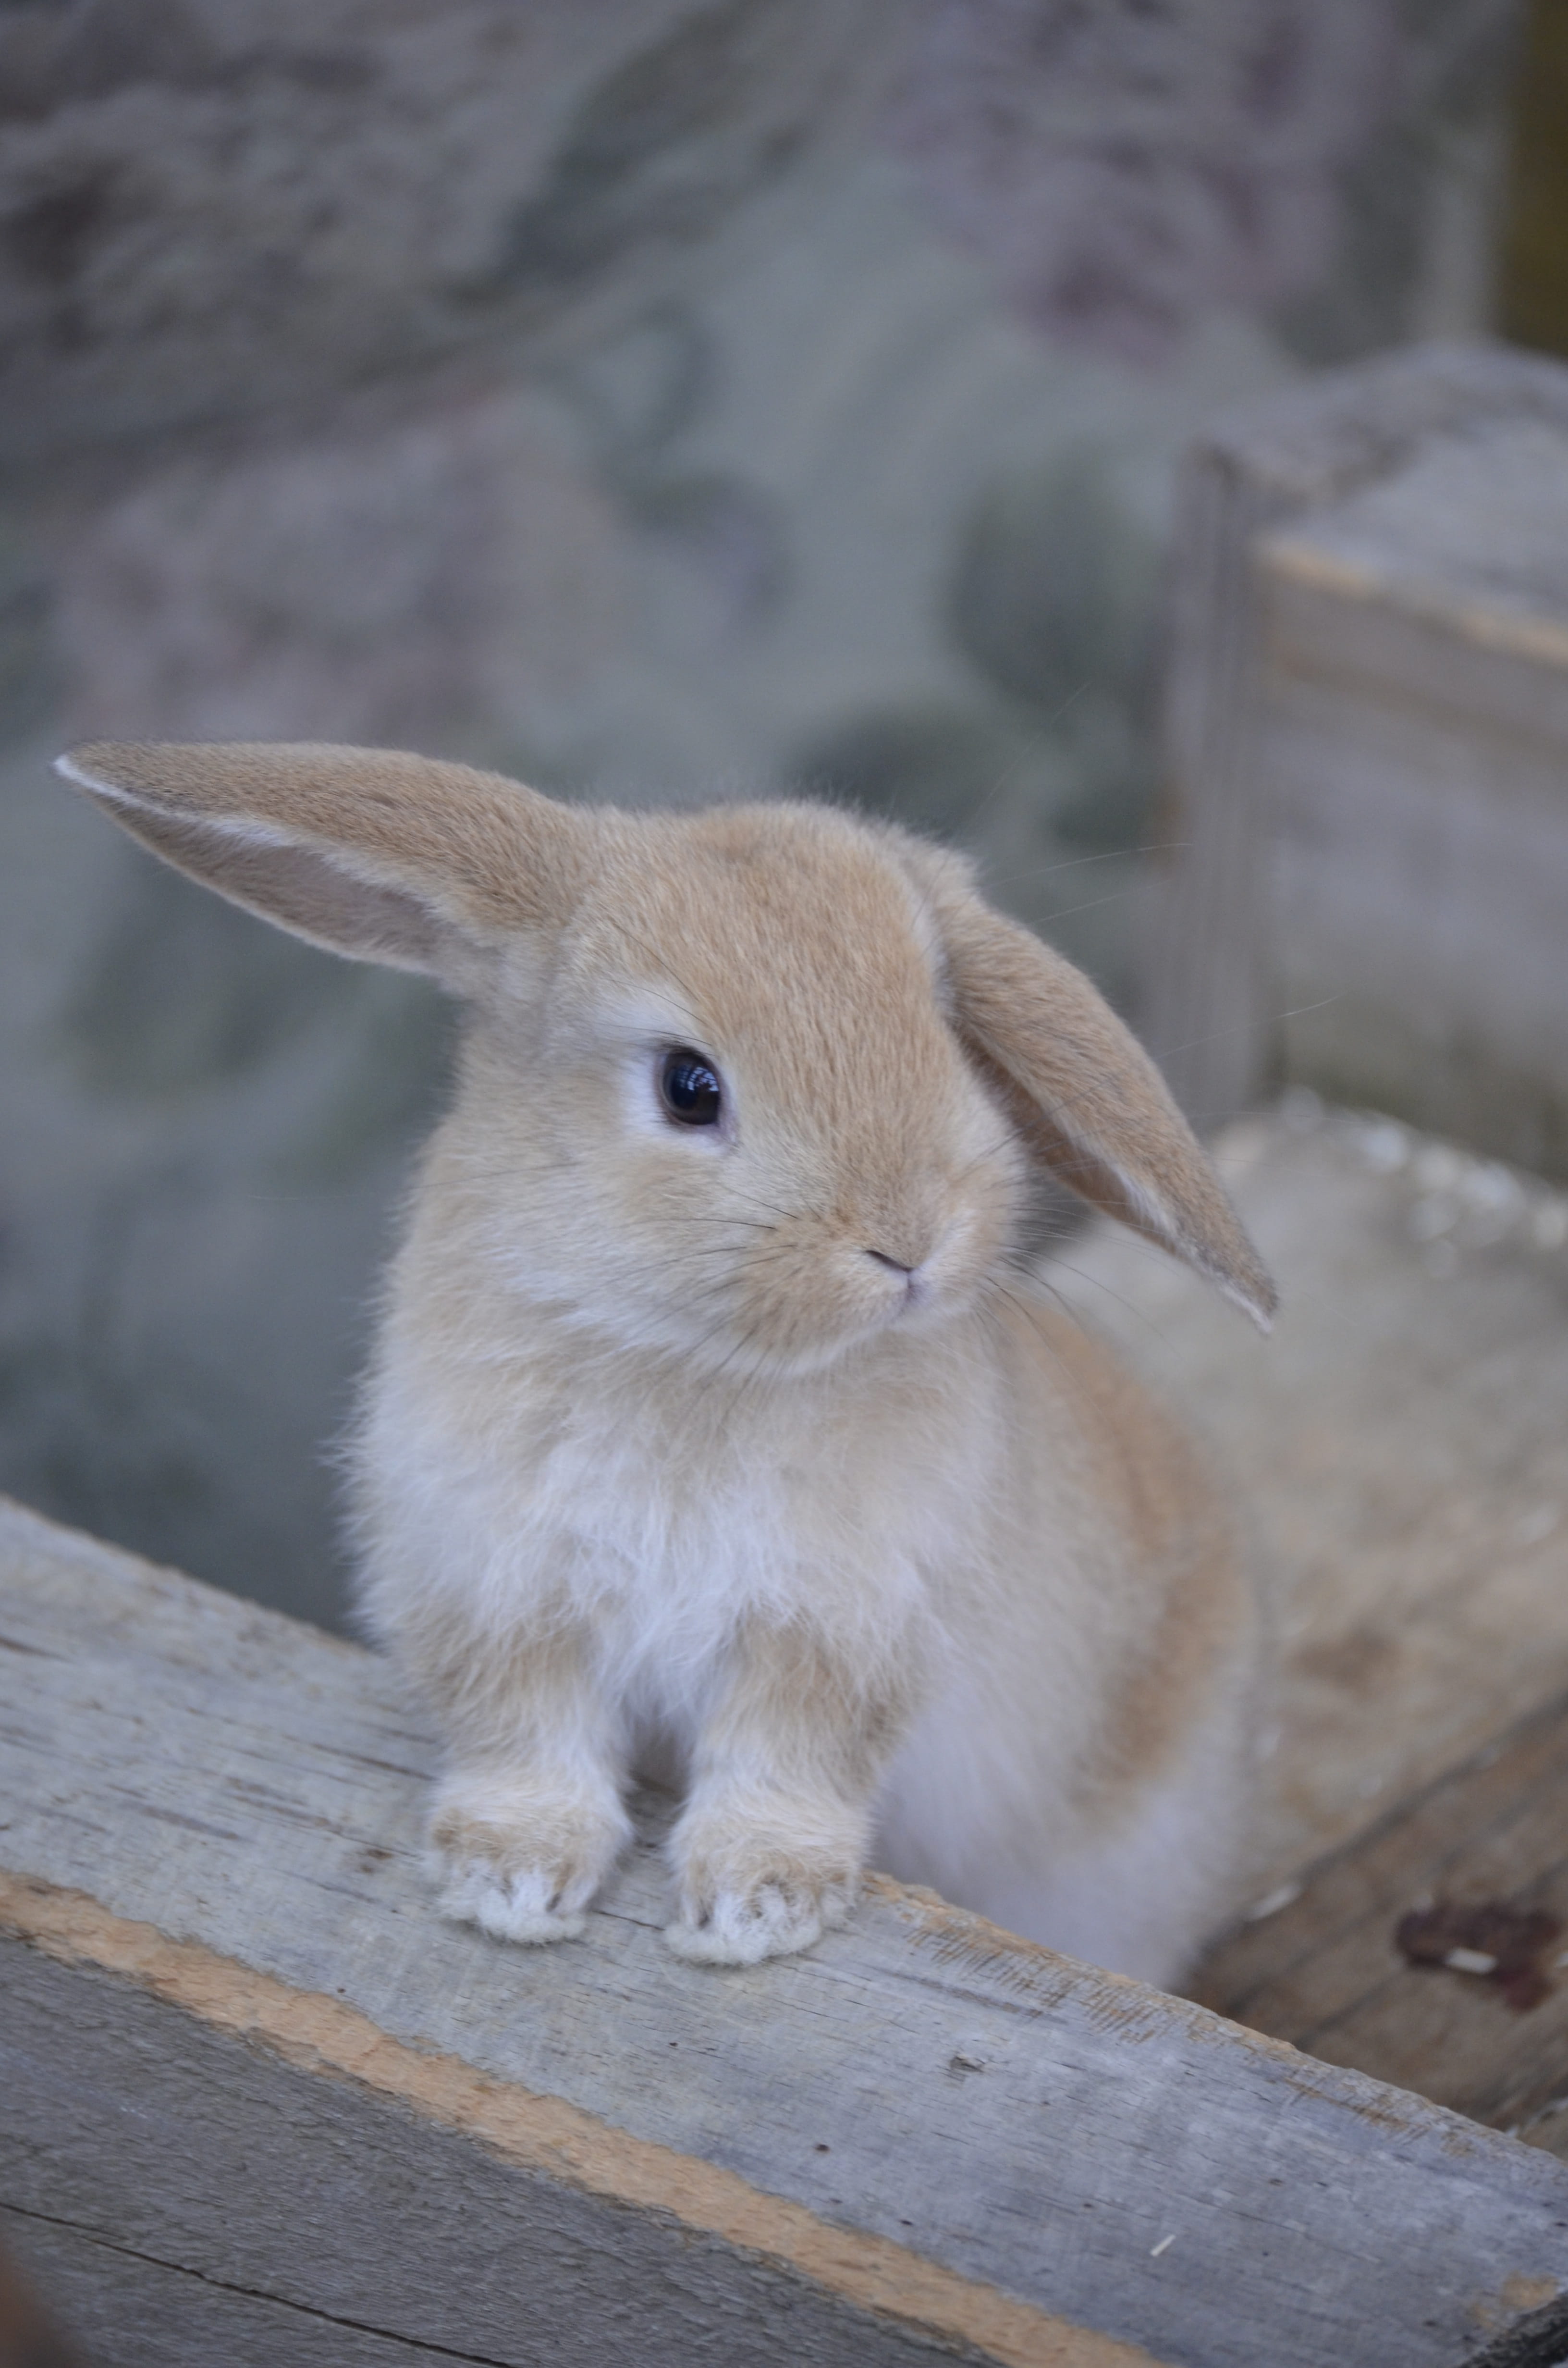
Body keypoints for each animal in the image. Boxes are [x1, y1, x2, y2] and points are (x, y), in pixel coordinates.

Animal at [56, 739, 1275, 1985]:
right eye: (689, 1085)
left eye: (946, 1033)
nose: (912, 1243)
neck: (697, 1352)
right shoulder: (500, 1593)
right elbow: (528, 1739)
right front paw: (512, 1887)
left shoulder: (834, 1633)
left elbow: (784, 1767)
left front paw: (749, 1915)